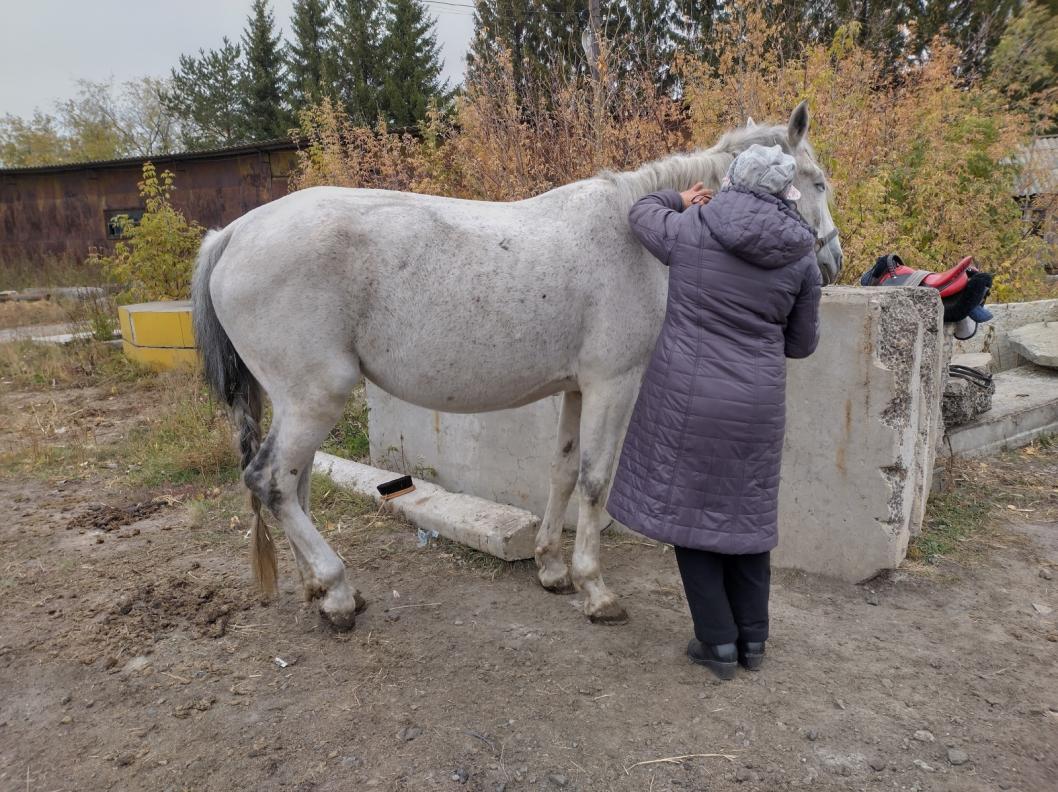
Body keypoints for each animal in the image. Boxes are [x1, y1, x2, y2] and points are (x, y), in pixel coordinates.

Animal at [192, 100, 842, 630]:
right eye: (817, 181)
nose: (833, 259)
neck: (633, 236)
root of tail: (233, 233)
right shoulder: (613, 384)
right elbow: (596, 480)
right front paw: (596, 589)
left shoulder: (577, 389)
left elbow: (562, 470)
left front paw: (552, 569)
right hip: (315, 397)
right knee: (273, 481)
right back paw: (337, 590)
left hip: (299, 403)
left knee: (293, 484)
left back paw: (320, 593)